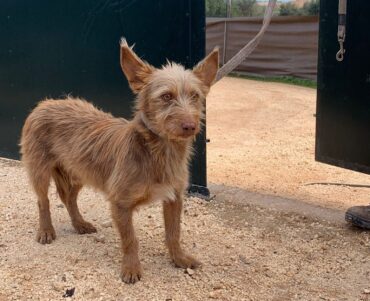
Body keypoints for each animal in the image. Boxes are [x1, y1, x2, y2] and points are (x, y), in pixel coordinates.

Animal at [20, 38, 218, 282]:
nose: (190, 126)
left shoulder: (174, 198)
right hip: (40, 170)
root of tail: (44, 103)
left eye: (195, 96)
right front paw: (131, 268)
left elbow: (174, 233)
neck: (158, 152)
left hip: (78, 172)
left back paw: (79, 224)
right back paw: (46, 230)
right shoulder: (120, 203)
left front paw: (179, 258)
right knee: (43, 201)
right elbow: (130, 239)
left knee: (69, 199)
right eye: (166, 96)